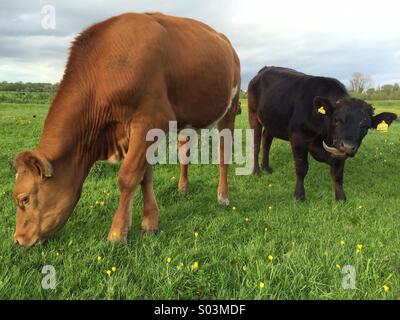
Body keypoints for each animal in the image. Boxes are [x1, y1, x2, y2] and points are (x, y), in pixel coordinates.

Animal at [11, 12, 241, 246]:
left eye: (24, 199)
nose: (18, 239)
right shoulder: (138, 132)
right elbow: (145, 175)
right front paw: (150, 223)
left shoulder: (151, 120)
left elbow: (128, 176)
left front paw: (117, 232)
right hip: (187, 122)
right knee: (184, 151)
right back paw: (183, 188)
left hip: (230, 109)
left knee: (224, 153)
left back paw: (223, 196)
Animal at [248, 67, 396, 201]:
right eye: (337, 119)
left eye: (365, 127)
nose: (348, 147)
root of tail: (264, 70)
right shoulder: (297, 138)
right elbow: (302, 168)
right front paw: (299, 196)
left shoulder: (339, 150)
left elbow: (338, 174)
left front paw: (340, 198)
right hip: (253, 116)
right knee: (256, 144)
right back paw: (256, 171)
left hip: (271, 122)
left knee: (266, 141)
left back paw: (266, 168)